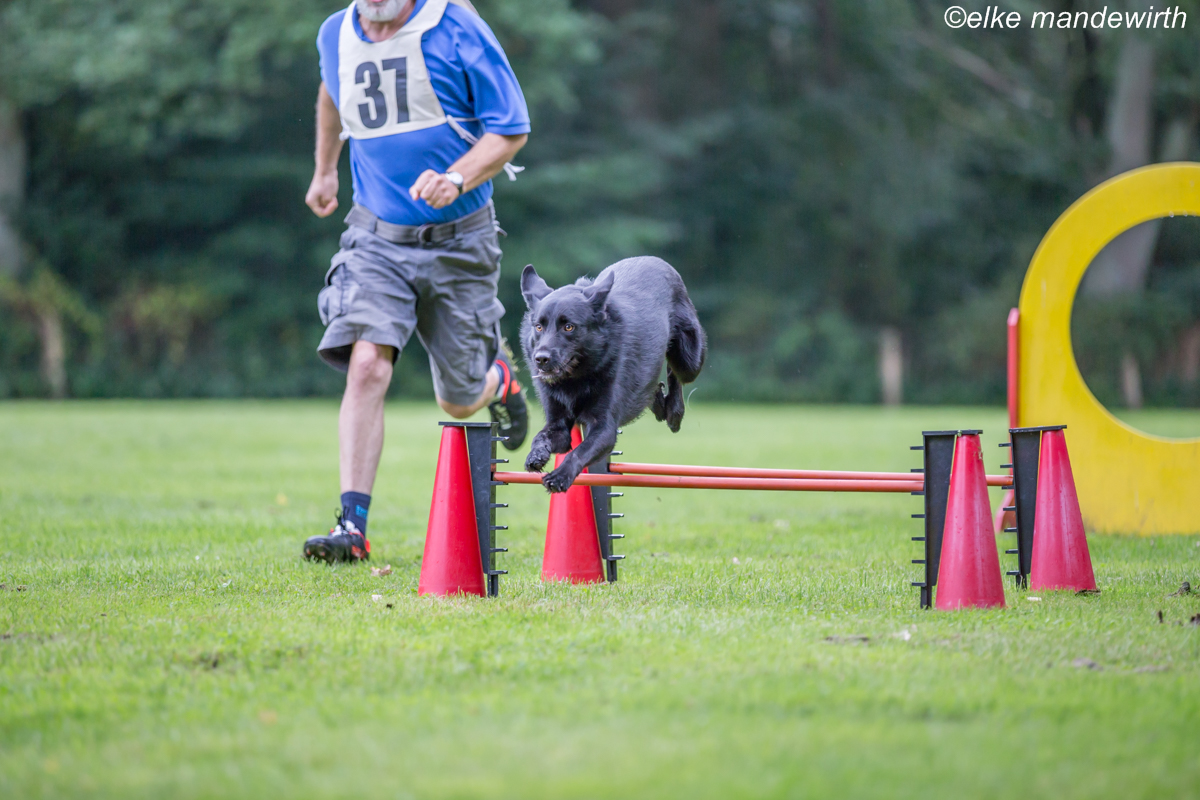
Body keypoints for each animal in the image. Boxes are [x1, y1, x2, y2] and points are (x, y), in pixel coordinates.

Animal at [520, 257, 707, 492]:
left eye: (569, 327)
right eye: (538, 327)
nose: (541, 359)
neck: (577, 378)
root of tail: (656, 260)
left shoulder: (604, 428)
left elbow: (578, 452)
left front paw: (560, 476)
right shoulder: (558, 425)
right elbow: (542, 437)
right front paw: (536, 455)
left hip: (689, 359)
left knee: (675, 371)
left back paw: (674, 412)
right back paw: (656, 400)